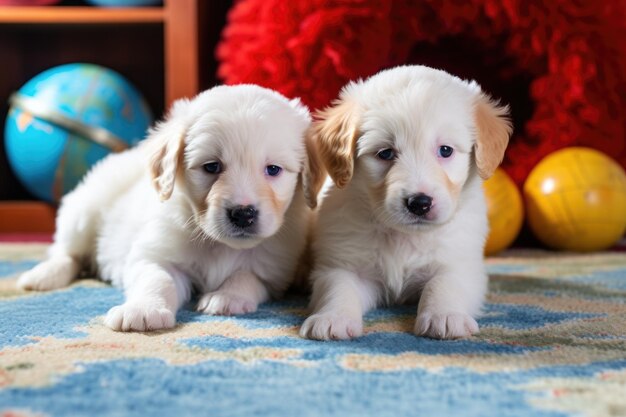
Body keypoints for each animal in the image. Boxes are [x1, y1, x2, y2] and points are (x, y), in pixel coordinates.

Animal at [18, 84, 316, 332]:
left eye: (273, 169)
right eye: (212, 167)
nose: (243, 214)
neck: (220, 245)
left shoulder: (272, 268)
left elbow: (247, 275)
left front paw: (226, 297)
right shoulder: (153, 254)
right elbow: (158, 279)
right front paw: (142, 310)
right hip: (82, 211)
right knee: (66, 252)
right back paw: (41, 276)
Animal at [300, 64, 510, 338]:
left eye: (445, 150)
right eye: (385, 153)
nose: (420, 203)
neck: (404, 235)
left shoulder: (460, 263)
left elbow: (443, 284)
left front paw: (445, 316)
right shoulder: (342, 263)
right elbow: (338, 288)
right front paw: (332, 318)